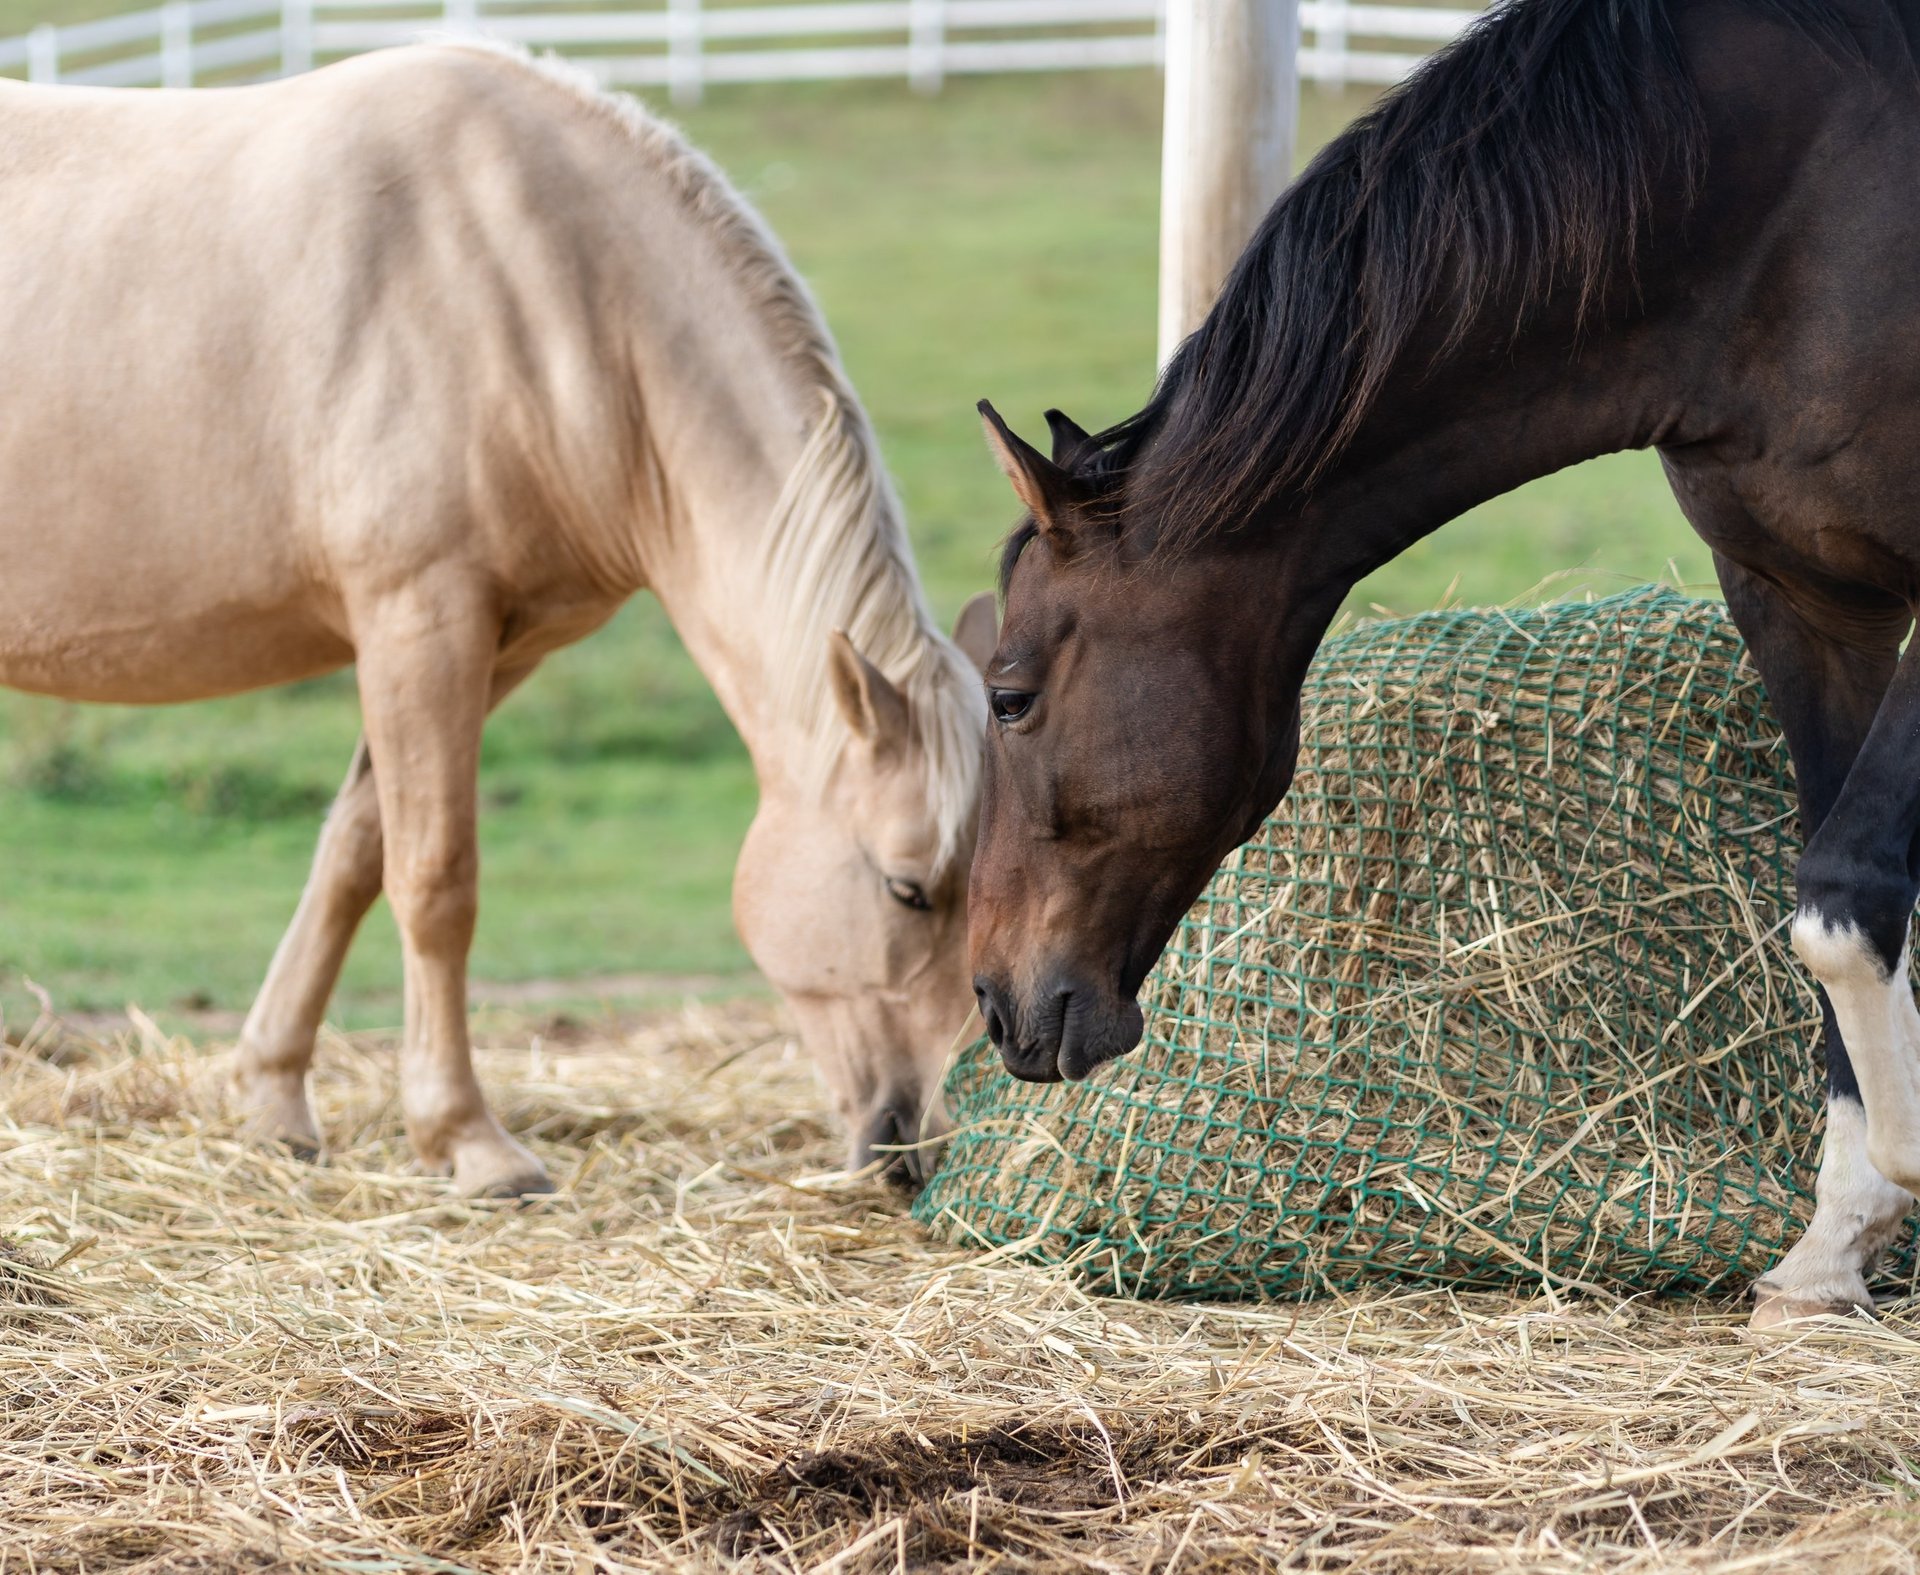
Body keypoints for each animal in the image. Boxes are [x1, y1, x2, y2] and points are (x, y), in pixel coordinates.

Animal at [0, 46, 990, 1190]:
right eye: (909, 889)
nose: (915, 1149)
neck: (541, 274)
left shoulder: (495, 644)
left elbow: (355, 852)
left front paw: (275, 1099)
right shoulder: (420, 620)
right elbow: (435, 878)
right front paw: (467, 1139)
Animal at [967, 0, 1920, 1329]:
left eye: (1008, 699)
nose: (995, 1001)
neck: (1789, 220)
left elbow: (1845, 895)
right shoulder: (1800, 603)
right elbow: (1840, 896)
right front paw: (1837, 1240)